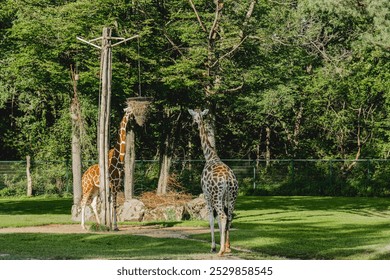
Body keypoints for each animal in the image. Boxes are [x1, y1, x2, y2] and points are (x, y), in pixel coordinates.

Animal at [188, 109, 239, 256]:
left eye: (193, 116)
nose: (193, 123)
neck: (210, 156)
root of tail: (228, 178)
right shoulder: (222, 198)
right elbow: (219, 221)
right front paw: (226, 246)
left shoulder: (206, 194)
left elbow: (211, 219)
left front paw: (213, 246)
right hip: (232, 196)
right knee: (229, 216)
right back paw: (227, 247)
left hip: (216, 196)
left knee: (222, 216)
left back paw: (220, 251)